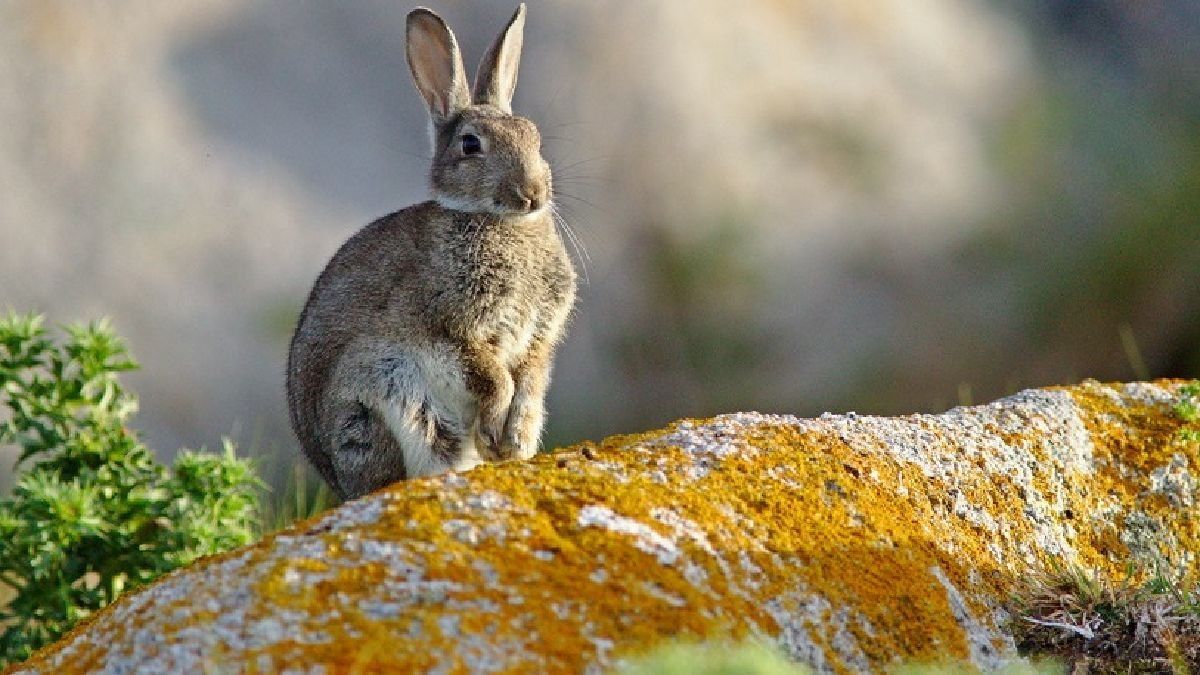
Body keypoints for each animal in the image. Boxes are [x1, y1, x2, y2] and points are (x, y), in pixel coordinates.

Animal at [286, 3, 576, 500]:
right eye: (470, 144)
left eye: (534, 138)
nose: (532, 194)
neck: (496, 221)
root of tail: (341, 485)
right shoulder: (452, 328)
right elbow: (494, 379)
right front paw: (495, 435)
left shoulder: (538, 339)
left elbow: (528, 382)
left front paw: (513, 442)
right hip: (382, 404)